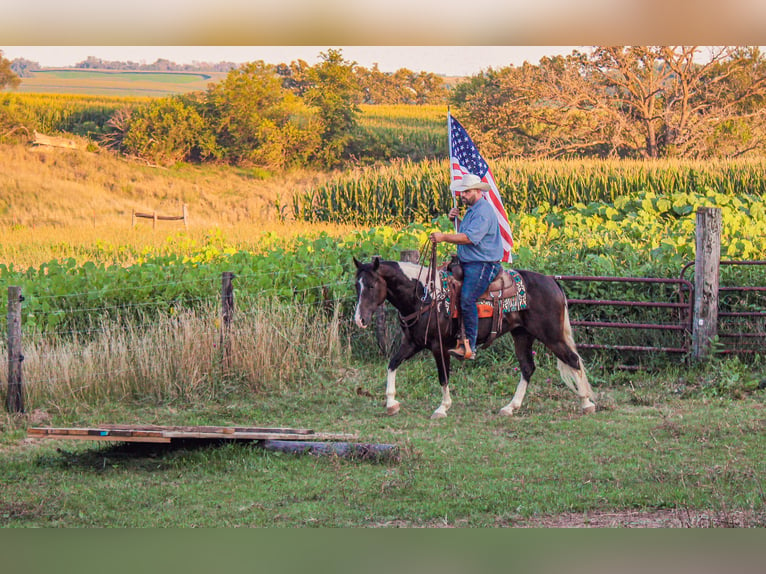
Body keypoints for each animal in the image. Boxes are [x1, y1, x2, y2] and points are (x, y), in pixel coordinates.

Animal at [354, 258, 600, 420]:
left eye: (372, 285)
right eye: (357, 286)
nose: (360, 319)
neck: (425, 296)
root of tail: (552, 282)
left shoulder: (438, 346)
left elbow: (443, 376)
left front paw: (442, 408)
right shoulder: (413, 343)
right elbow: (392, 364)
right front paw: (391, 403)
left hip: (551, 335)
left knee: (573, 359)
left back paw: (586, 403)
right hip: (522, 334)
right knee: (528, 367)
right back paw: (511, 407)